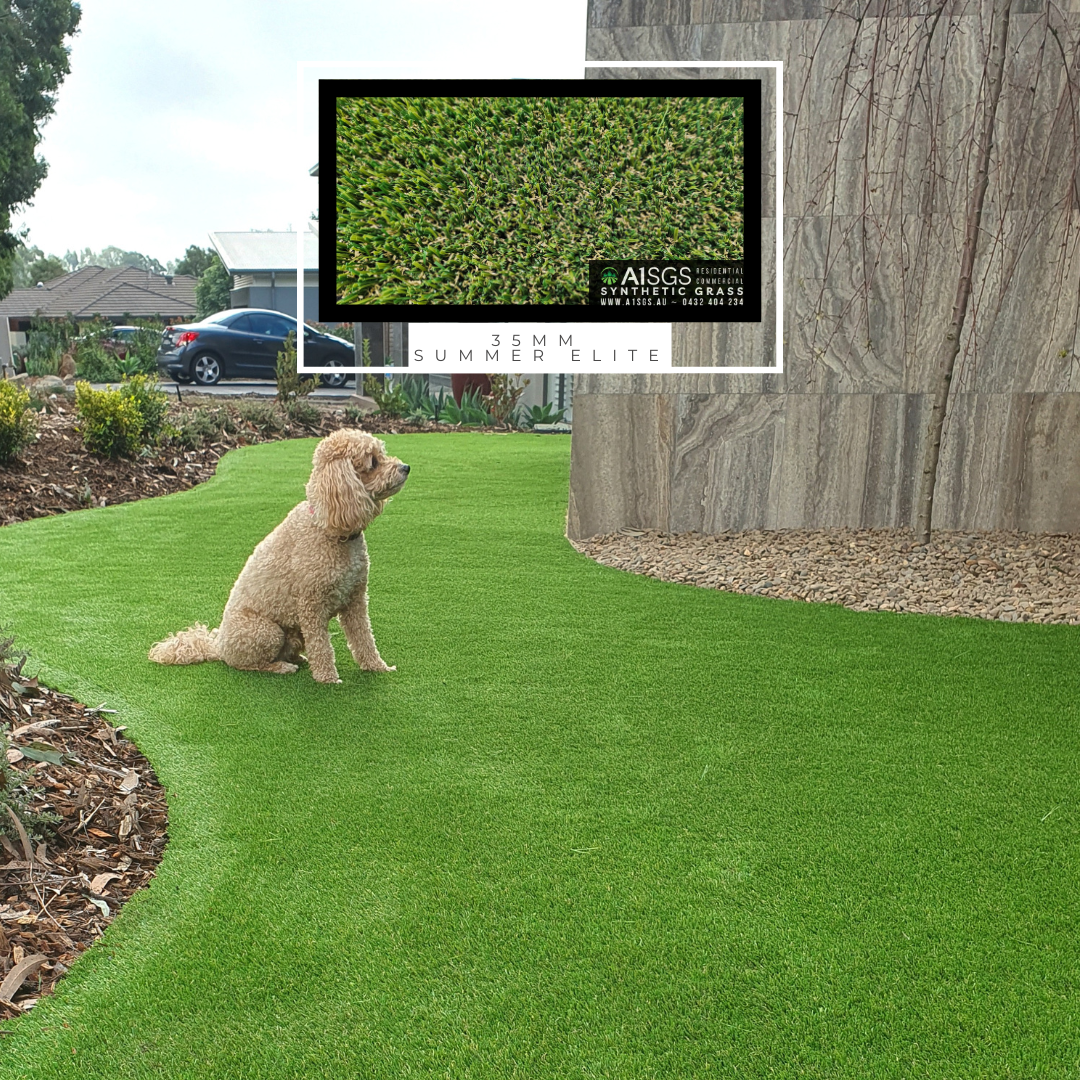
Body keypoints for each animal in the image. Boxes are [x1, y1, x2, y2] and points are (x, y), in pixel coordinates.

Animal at [147, 429, 408, 682]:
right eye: (373, 462)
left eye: (382, 454)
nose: (406, 467)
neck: (329, 529)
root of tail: (218, 646)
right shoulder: (311, 606)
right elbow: (322, 646)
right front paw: (328, 679)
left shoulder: (356, 599)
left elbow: (364, 638)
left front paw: (377, 667)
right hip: (266, 631)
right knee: (250, 665)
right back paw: (282, 667)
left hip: (292, 631)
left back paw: (297, 658)